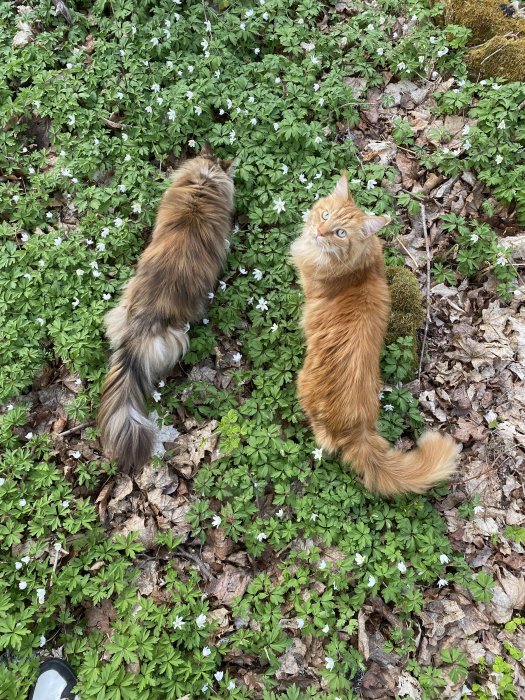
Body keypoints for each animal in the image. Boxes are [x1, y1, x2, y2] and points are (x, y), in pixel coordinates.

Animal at [290, 172, 458, 494]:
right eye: (326, 215)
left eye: (340, 232)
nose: (319, 231)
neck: (357, 268)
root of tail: (358, 429)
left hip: (301, 383)